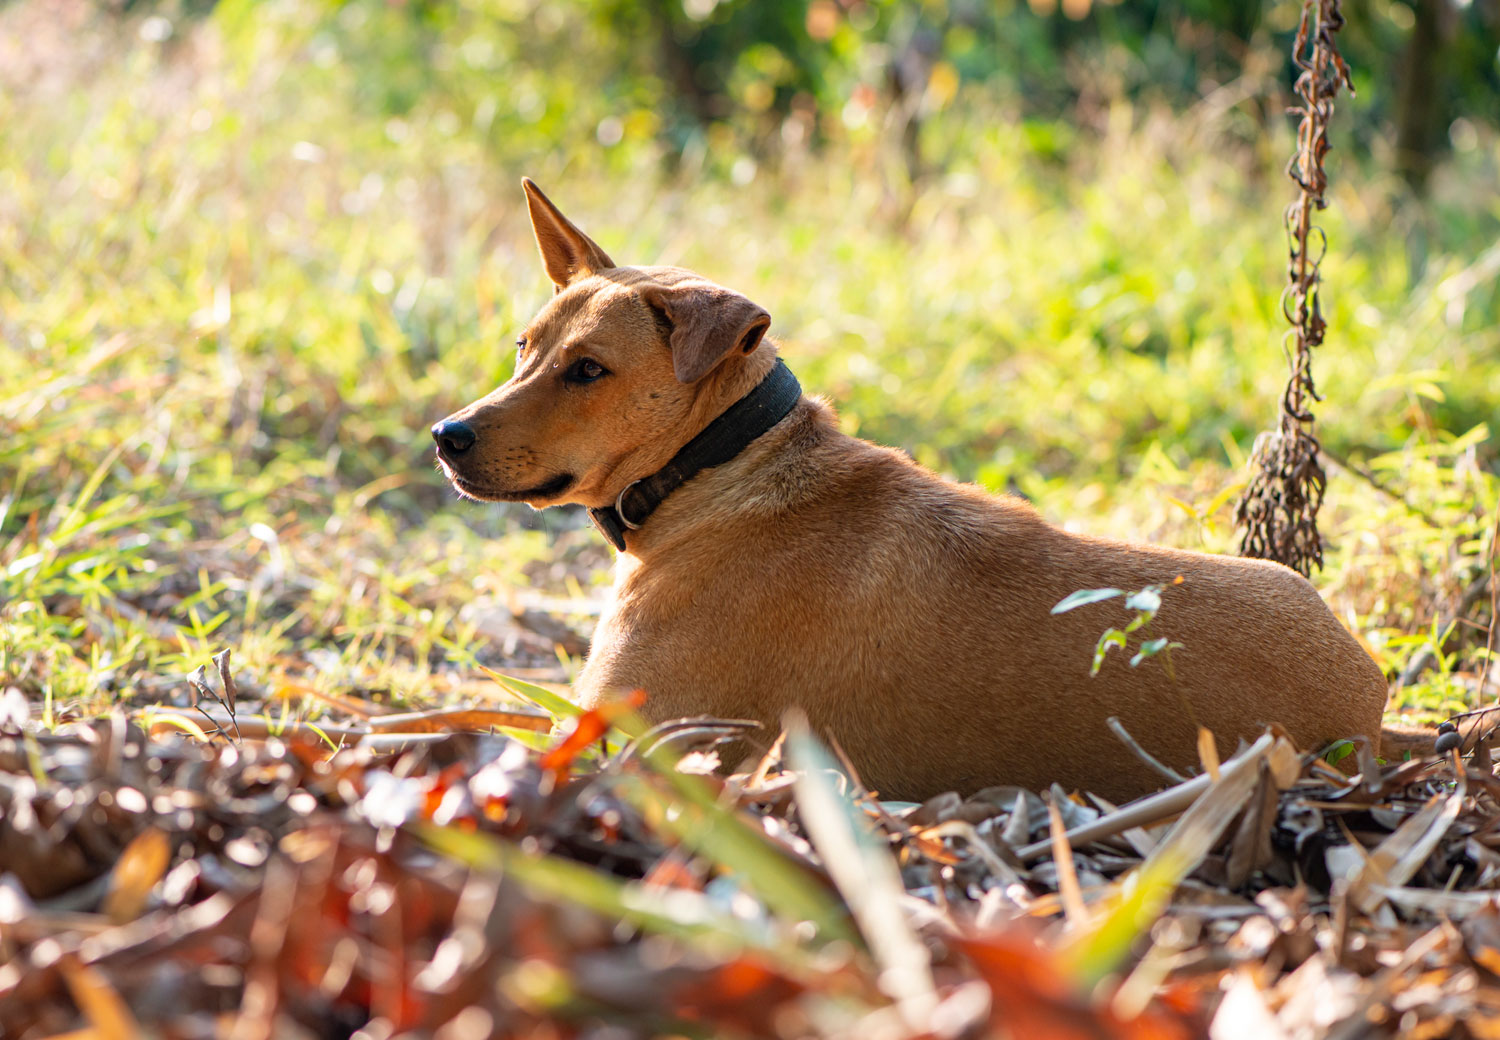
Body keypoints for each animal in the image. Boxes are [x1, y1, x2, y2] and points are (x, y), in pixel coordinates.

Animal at [429, 178, 1386, 798]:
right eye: (524, 349)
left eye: (589, 370)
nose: (446, 437)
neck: (719, 465)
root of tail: (1372, 702)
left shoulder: (628, 737)